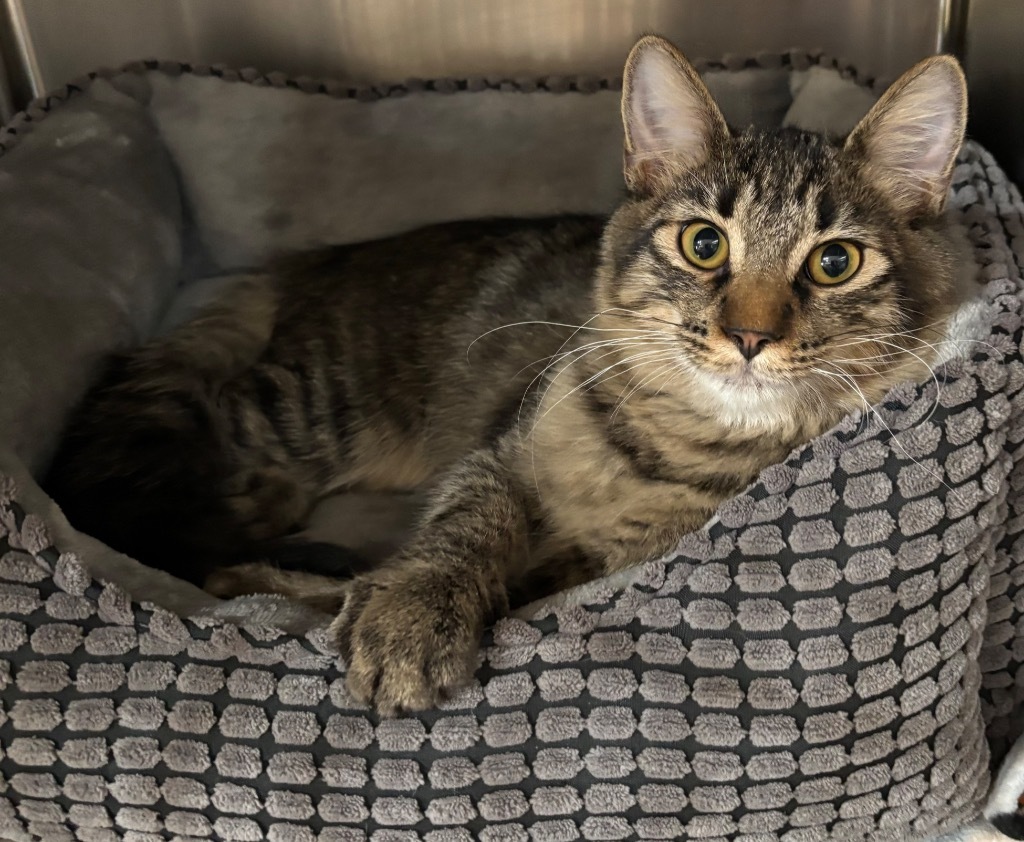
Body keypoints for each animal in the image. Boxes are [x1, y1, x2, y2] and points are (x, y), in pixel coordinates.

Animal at [46, 36, 966, 717]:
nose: (748, 335)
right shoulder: (499, 453)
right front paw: (412, 612)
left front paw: (333, 595)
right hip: (315, 407)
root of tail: (304, 264)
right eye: (704, 244)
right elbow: (461, 529)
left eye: (835, 262)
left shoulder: (588, 562)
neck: (673, 443)